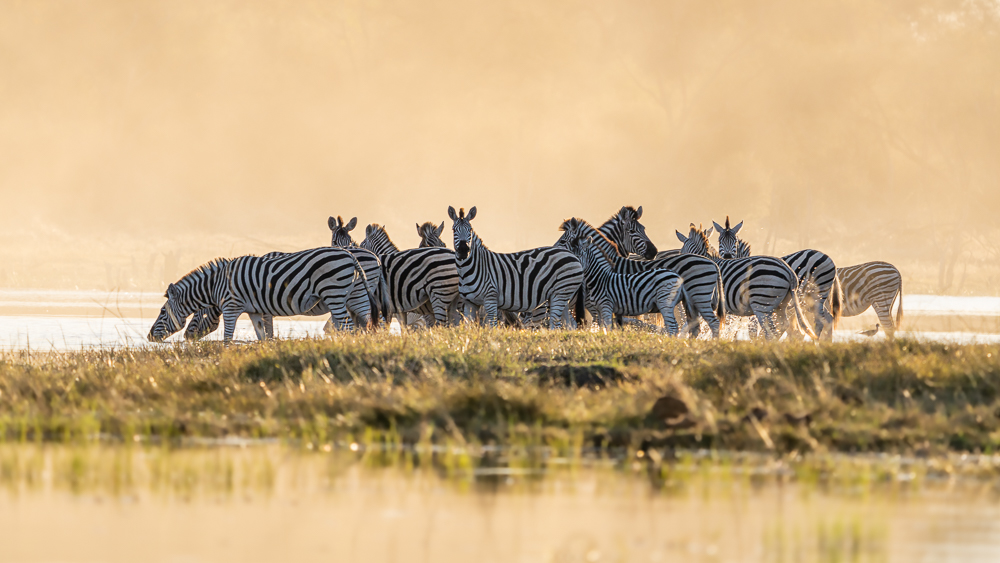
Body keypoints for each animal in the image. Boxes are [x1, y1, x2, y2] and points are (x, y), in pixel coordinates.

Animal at [448, 206, 584, 330]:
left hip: (561, 292)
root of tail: (572, 255)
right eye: (453, 230)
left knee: (555, 325)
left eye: (470, 230)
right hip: (561, 296)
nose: (463, 250)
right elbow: (468, 327)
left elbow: (492, 326)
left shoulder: (491, 298)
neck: (470, 268)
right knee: (569, 325)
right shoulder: (470, 303)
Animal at [556, 216, 728, 340]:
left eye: (563, 240)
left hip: (699, 295)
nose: (557, 255)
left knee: (711, 323)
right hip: (692, 300)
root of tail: (713, 263)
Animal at [676, 226, 816, 344]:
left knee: (771, 331)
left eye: (681, 252)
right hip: (781, 305)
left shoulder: (702, 299)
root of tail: (788, 271)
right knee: (783, 326)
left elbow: (690, 325)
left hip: (762, 304)